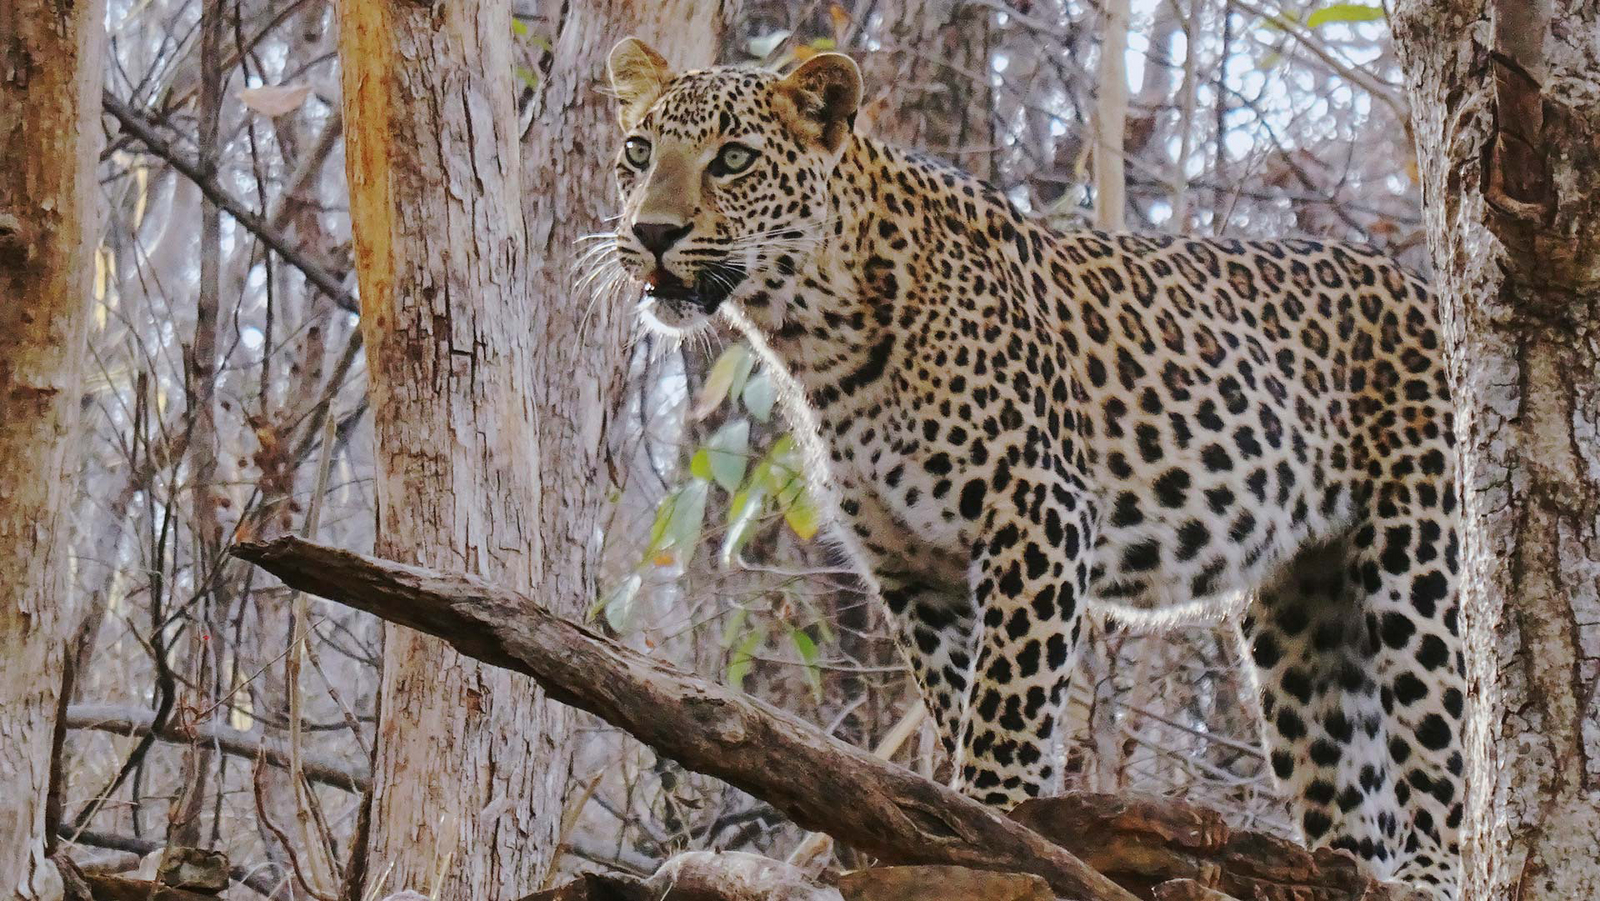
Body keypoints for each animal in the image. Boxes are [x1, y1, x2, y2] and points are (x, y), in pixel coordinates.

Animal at [595, 37, 1467, 898]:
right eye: (637, 151)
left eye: (734, 159)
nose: (651, 232)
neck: (815, 335)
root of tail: (1423, 286)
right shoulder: (911, 567)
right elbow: (960, 698)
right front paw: (969, 819)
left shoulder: (1035, 511)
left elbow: (1008, 699)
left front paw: (999, 821)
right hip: (1303, 619)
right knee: (1347, 781)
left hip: (1421, 563)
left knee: (1448, 743)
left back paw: (1429, 872)